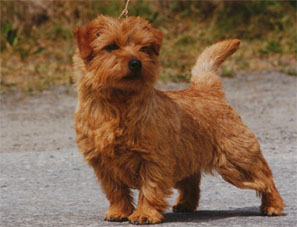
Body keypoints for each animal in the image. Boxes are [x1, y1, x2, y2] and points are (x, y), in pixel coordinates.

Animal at [72, 15, 284, 224]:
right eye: (111, 46)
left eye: (144, 48)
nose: (136, 63)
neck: (117, 104)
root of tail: (206, 90)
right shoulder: (102, 163)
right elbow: (115, 190)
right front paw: (119, 212)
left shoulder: (154, 159)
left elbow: (150, 188)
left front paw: (144, 214)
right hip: (189, 157)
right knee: (192, 181)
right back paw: (185, 204)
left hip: (237, 160)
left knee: (265, 178)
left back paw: (273, 205)